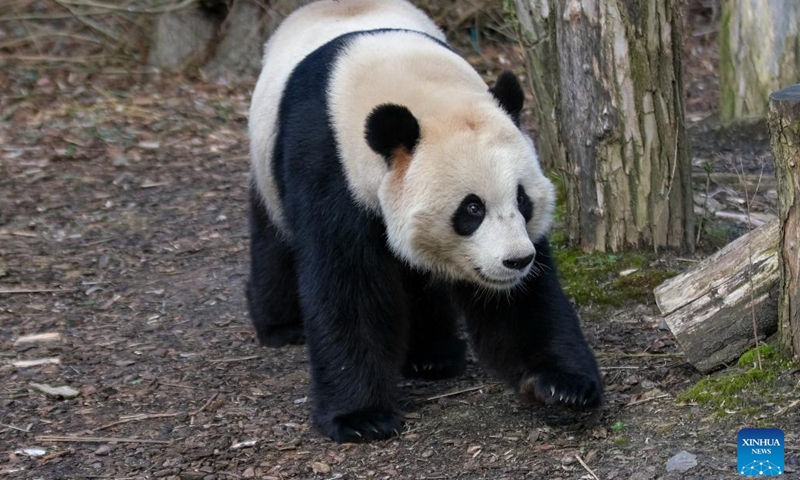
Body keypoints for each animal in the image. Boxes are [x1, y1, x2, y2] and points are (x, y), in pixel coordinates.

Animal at [247, 0, 603, 443]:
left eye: (522, 200)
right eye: (472, 209)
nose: (516, 261)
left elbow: (523, 303)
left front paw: (561, 384)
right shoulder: (329, 165)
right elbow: (346, 284)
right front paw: (361, 417)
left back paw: (433, 356)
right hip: (267, 166)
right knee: (274, 240)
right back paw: (280, 327)